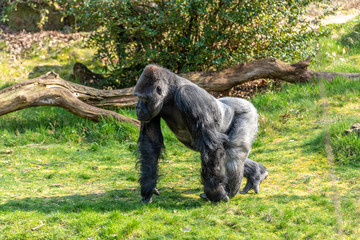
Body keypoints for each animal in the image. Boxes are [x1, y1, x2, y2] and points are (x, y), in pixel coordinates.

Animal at [133, 64, 258, 202]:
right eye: (137, 97)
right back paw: (257, 172)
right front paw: (148, 187)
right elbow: (150, 143)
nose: (137, 107)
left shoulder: (188, 96)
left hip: (247, 112)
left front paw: (215, 193)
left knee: (233, 155)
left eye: (143, 98)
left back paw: (231, 190)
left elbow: (211, 145)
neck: (170, 94)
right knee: (227, 154)